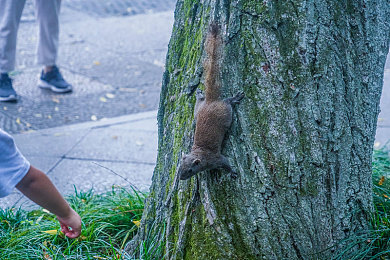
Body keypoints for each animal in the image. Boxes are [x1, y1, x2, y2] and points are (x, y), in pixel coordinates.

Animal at [179, 23, 245, 180]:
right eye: (179, 167)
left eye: (190, 170)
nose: (181, 178)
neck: (200, 154)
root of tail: (211, 100)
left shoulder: (216, 159)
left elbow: (225, 162)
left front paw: (232, 172)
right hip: (199, 112)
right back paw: (199, 95)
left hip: (226, 112)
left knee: (227, 102)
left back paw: (234, 98)